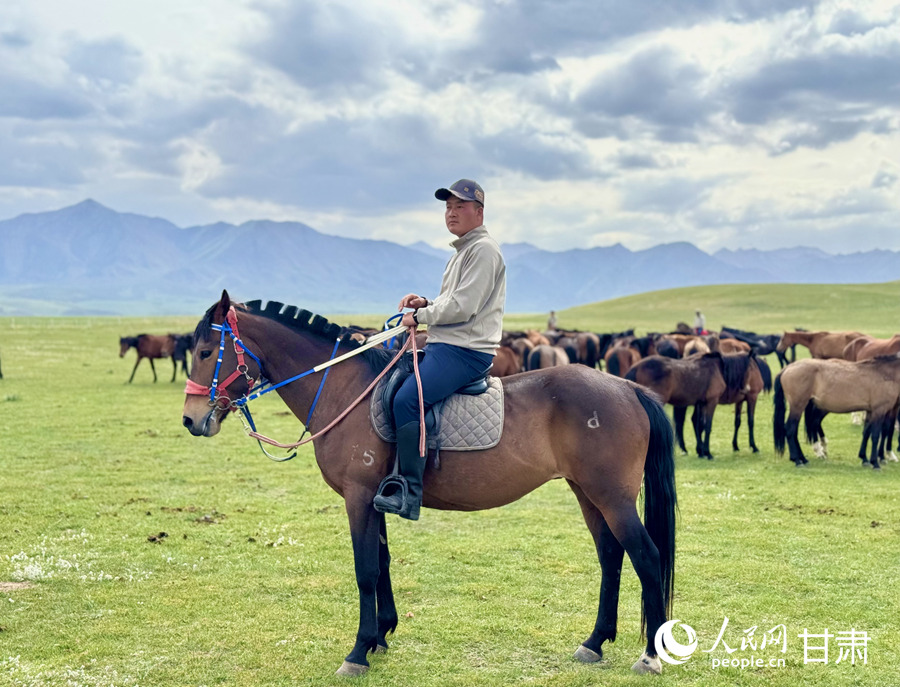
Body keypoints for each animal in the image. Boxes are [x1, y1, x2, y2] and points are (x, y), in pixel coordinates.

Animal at [181, 292, 677, 677]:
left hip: (612, 498)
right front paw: (380, 636)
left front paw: (358, 651)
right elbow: (381, 564)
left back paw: (650, 655)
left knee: (646, 557)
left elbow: (365, 570)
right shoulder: (375, 498)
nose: (190, 419)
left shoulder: (358, 497)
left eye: (206, 352)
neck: (345, 389)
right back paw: (594, 642)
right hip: (588, 493)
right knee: (611, 556)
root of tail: (628, 388)